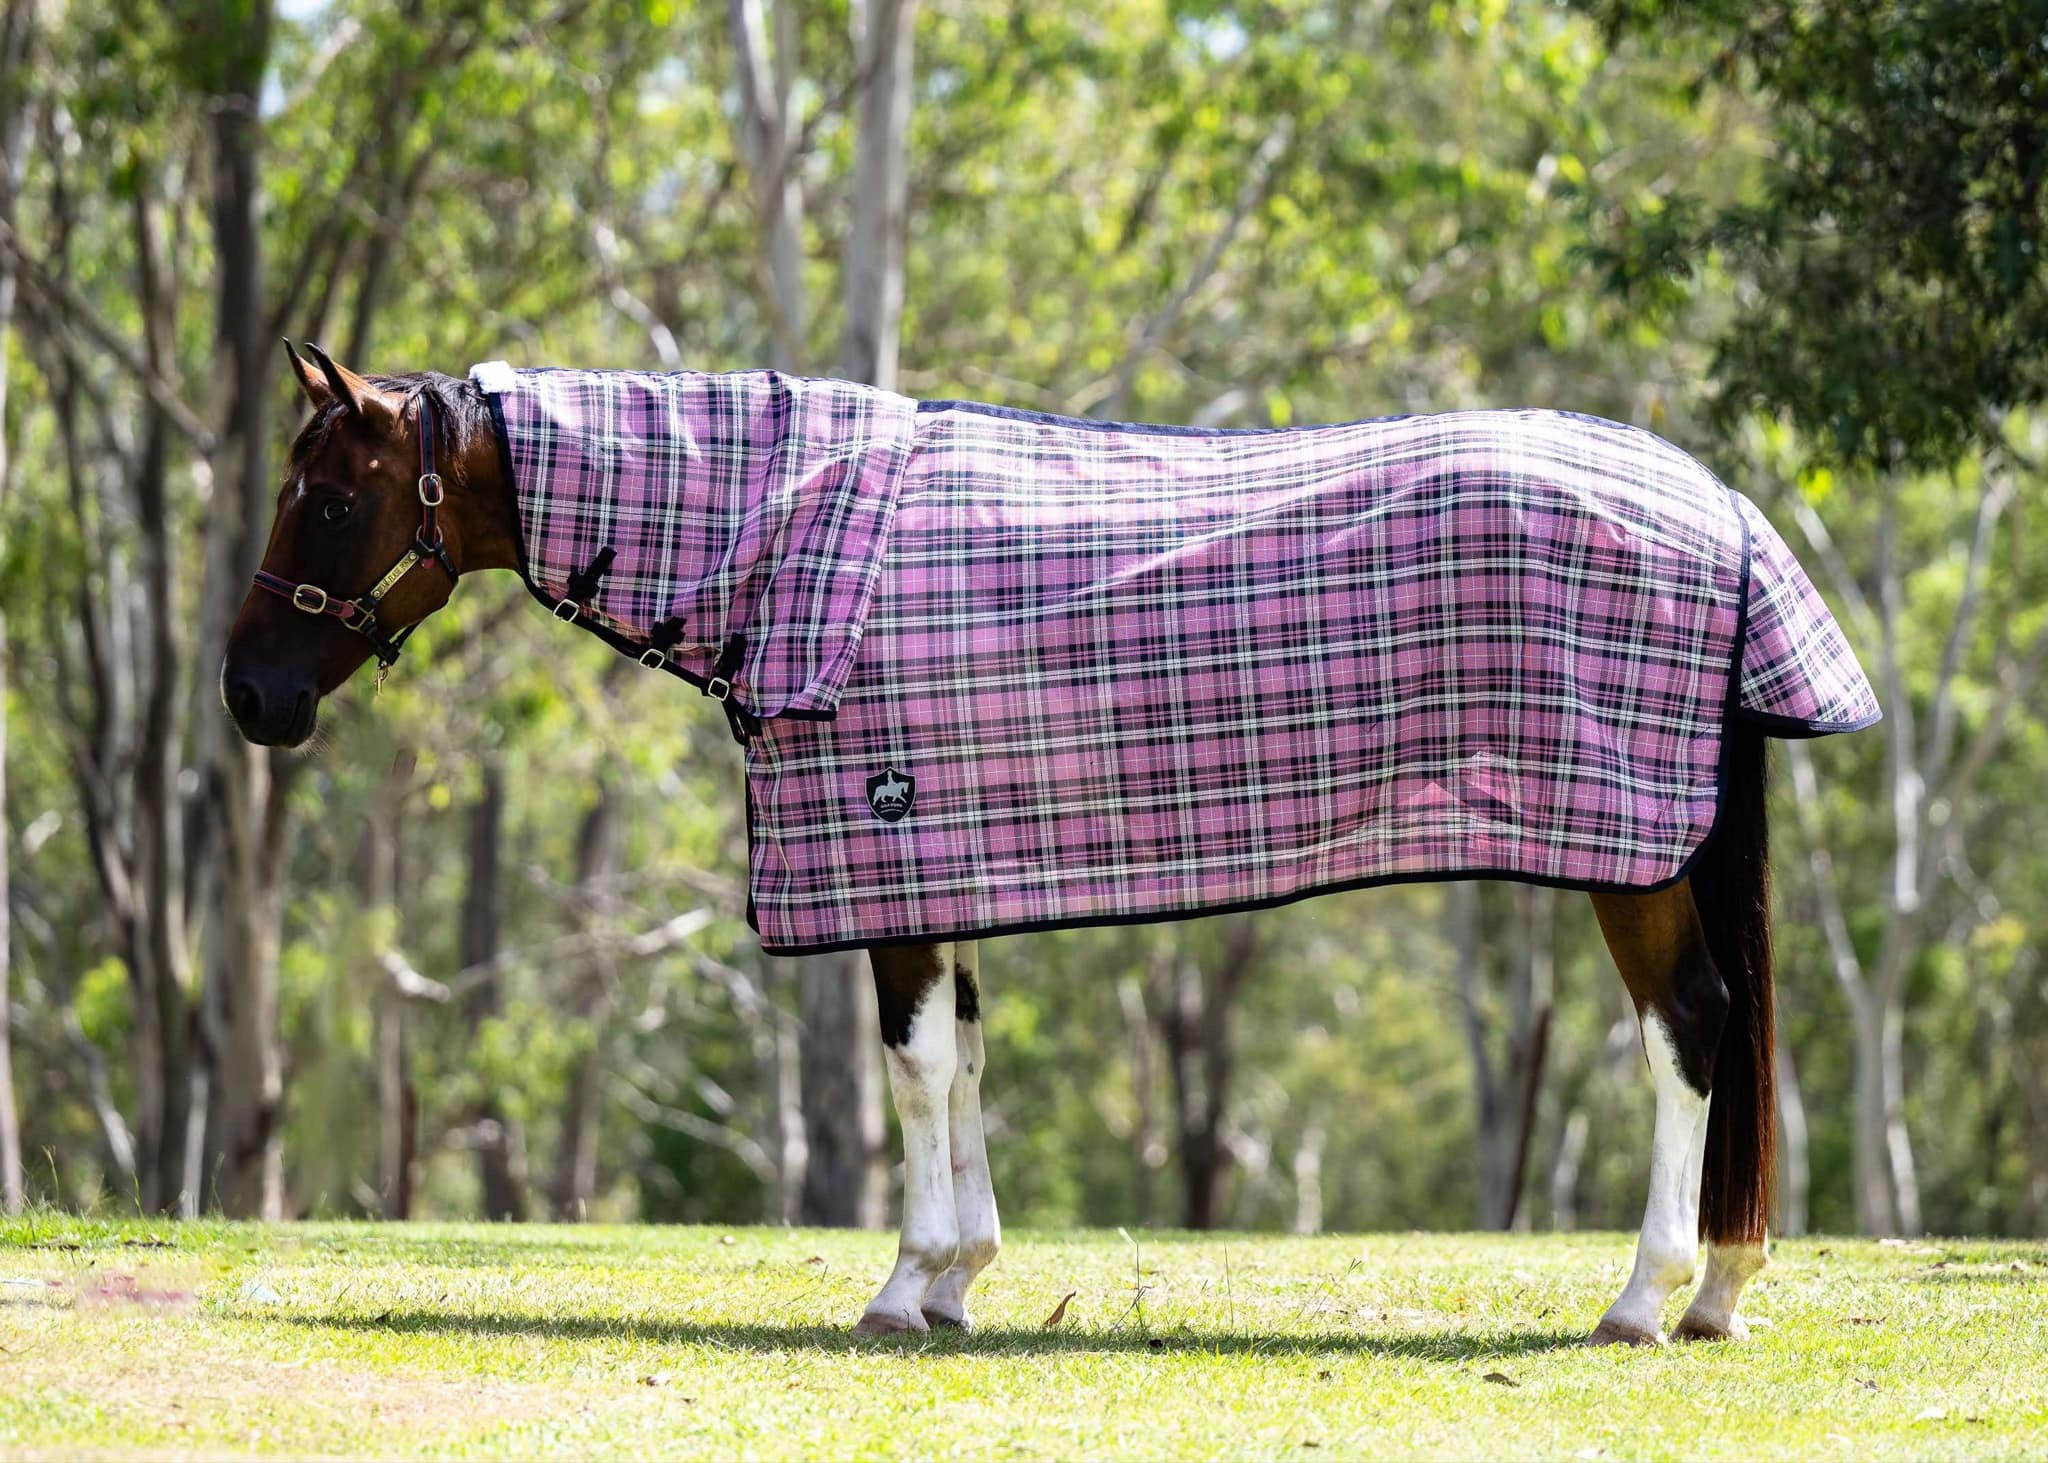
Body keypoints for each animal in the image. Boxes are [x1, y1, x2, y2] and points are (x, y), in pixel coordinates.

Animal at [220, 338, 1875, 1335]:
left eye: (330, 495)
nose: (250, 693)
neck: (790, 541)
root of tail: (1724, 510)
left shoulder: (879, 850)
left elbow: (913, 1067)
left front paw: (905, 1285)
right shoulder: (935, 853)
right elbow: (959, 1057)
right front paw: (960, 1275)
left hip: (1632, 852)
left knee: (1689, 1029)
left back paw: (1649, 1291)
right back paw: (1716, 1288)